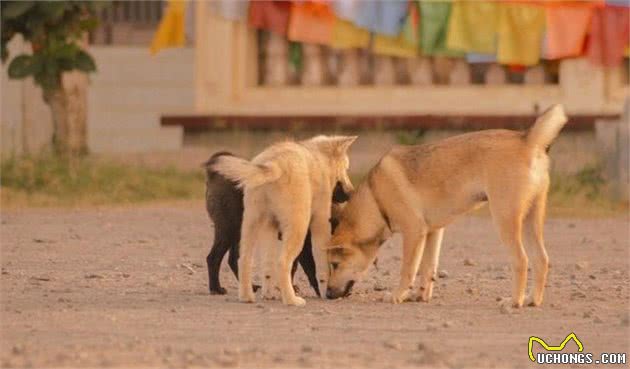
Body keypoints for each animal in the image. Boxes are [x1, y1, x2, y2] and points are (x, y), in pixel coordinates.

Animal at [212, 135, 358, 304]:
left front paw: (268, 294)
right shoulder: (320, 224)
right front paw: (325, 291)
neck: (319, 160)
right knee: (282, 263)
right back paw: (291, 300)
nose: (351, 193)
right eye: (346, 168)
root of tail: (274, 165)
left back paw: (247, 297)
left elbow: (268, 266)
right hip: (298, 227)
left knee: (244, 260)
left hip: (251, 223)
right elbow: (322, 266)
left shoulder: (271, 225)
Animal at [328, 105, 572, 306]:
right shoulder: (433, 233)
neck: (376, 198)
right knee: (541, 259)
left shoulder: (413, 233)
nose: (328, 294)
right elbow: (428, 268)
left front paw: (397, 295)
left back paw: (514, 301)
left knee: (521, 260)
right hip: (532, 219)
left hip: (506, 219)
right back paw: (532, 300)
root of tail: (526, 139)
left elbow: (408, 270)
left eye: (335, 264)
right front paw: (420, 295)